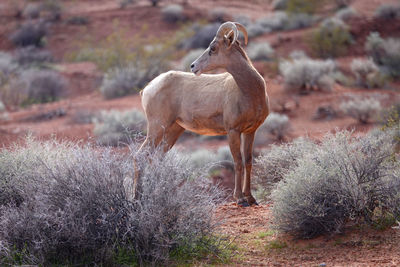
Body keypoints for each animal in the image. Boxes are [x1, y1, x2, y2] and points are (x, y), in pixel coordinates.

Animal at [136, 22, 270, 207]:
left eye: (213, 48)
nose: (193, 66)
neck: (249, 92)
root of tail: (148, 88)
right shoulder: (233, 131)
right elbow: (237, 162)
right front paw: (240, 199)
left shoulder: (250, 131)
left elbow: (248, 162)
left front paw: (251, 199)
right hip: (156, 128)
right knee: (140, 157)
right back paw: (136, 199)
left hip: (172, 132)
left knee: (155, 160)